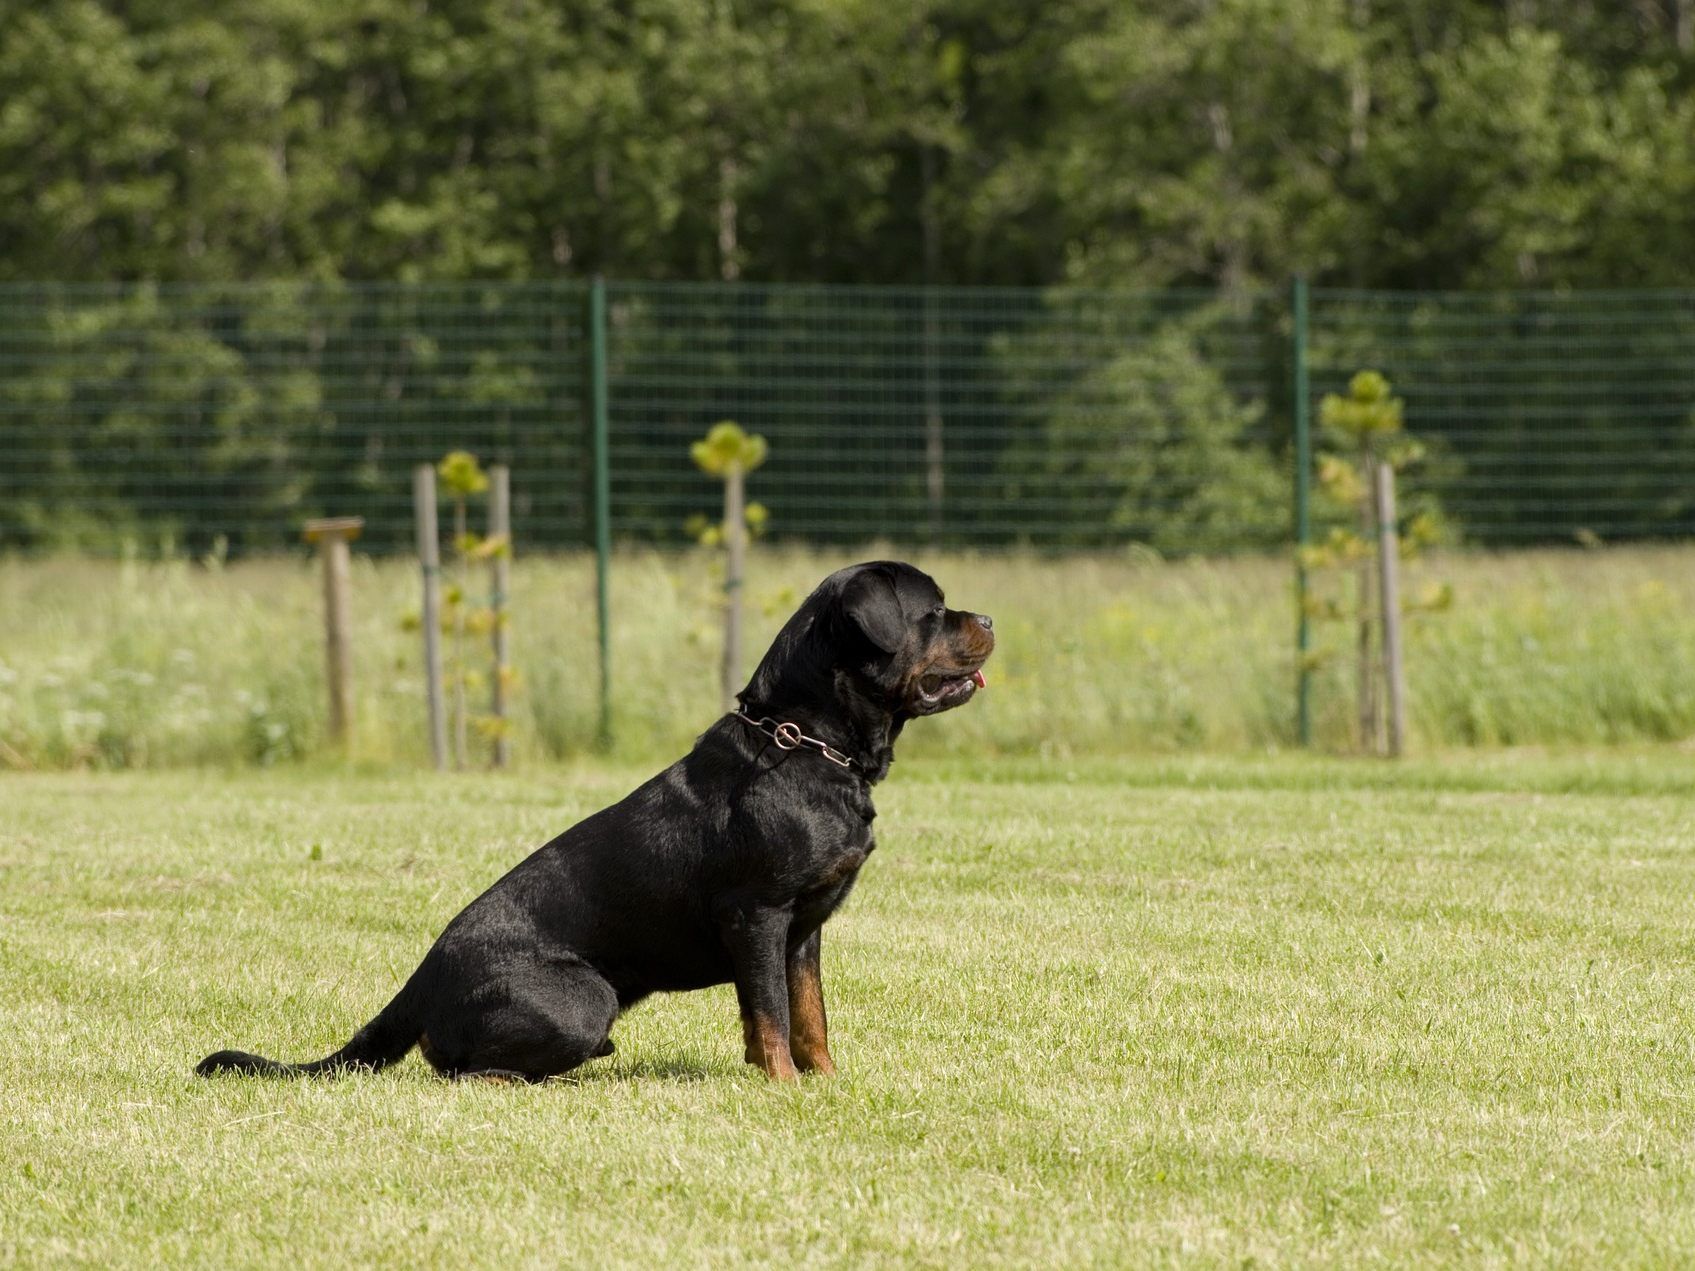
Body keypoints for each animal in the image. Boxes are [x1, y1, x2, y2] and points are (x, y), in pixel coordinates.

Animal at [198, 566, 989, 1084]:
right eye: (934, 610)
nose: (987, 620)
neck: (804, 744)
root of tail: (419, 981)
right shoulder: (758, 914)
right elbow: (768, 1015)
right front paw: (784, 1086)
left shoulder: (804, 929)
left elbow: (809, 1013)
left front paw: (824, 1080)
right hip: (586, 996)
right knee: (464, 1070)